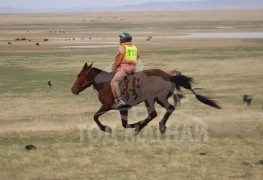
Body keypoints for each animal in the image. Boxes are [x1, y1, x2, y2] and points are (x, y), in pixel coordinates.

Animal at [70, 63, 221, 135]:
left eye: (79, 75)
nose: (73, 90)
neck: (106, 84)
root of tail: (169, 76)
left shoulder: (107, 106)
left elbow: (95, 117)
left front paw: (106, 129)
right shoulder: (123, 108)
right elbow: (124, 124)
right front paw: (134, 125)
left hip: (150, 99)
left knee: (153, 114)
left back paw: (140, 128)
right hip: (159, 99)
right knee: (170, 108)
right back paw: (160, 126)